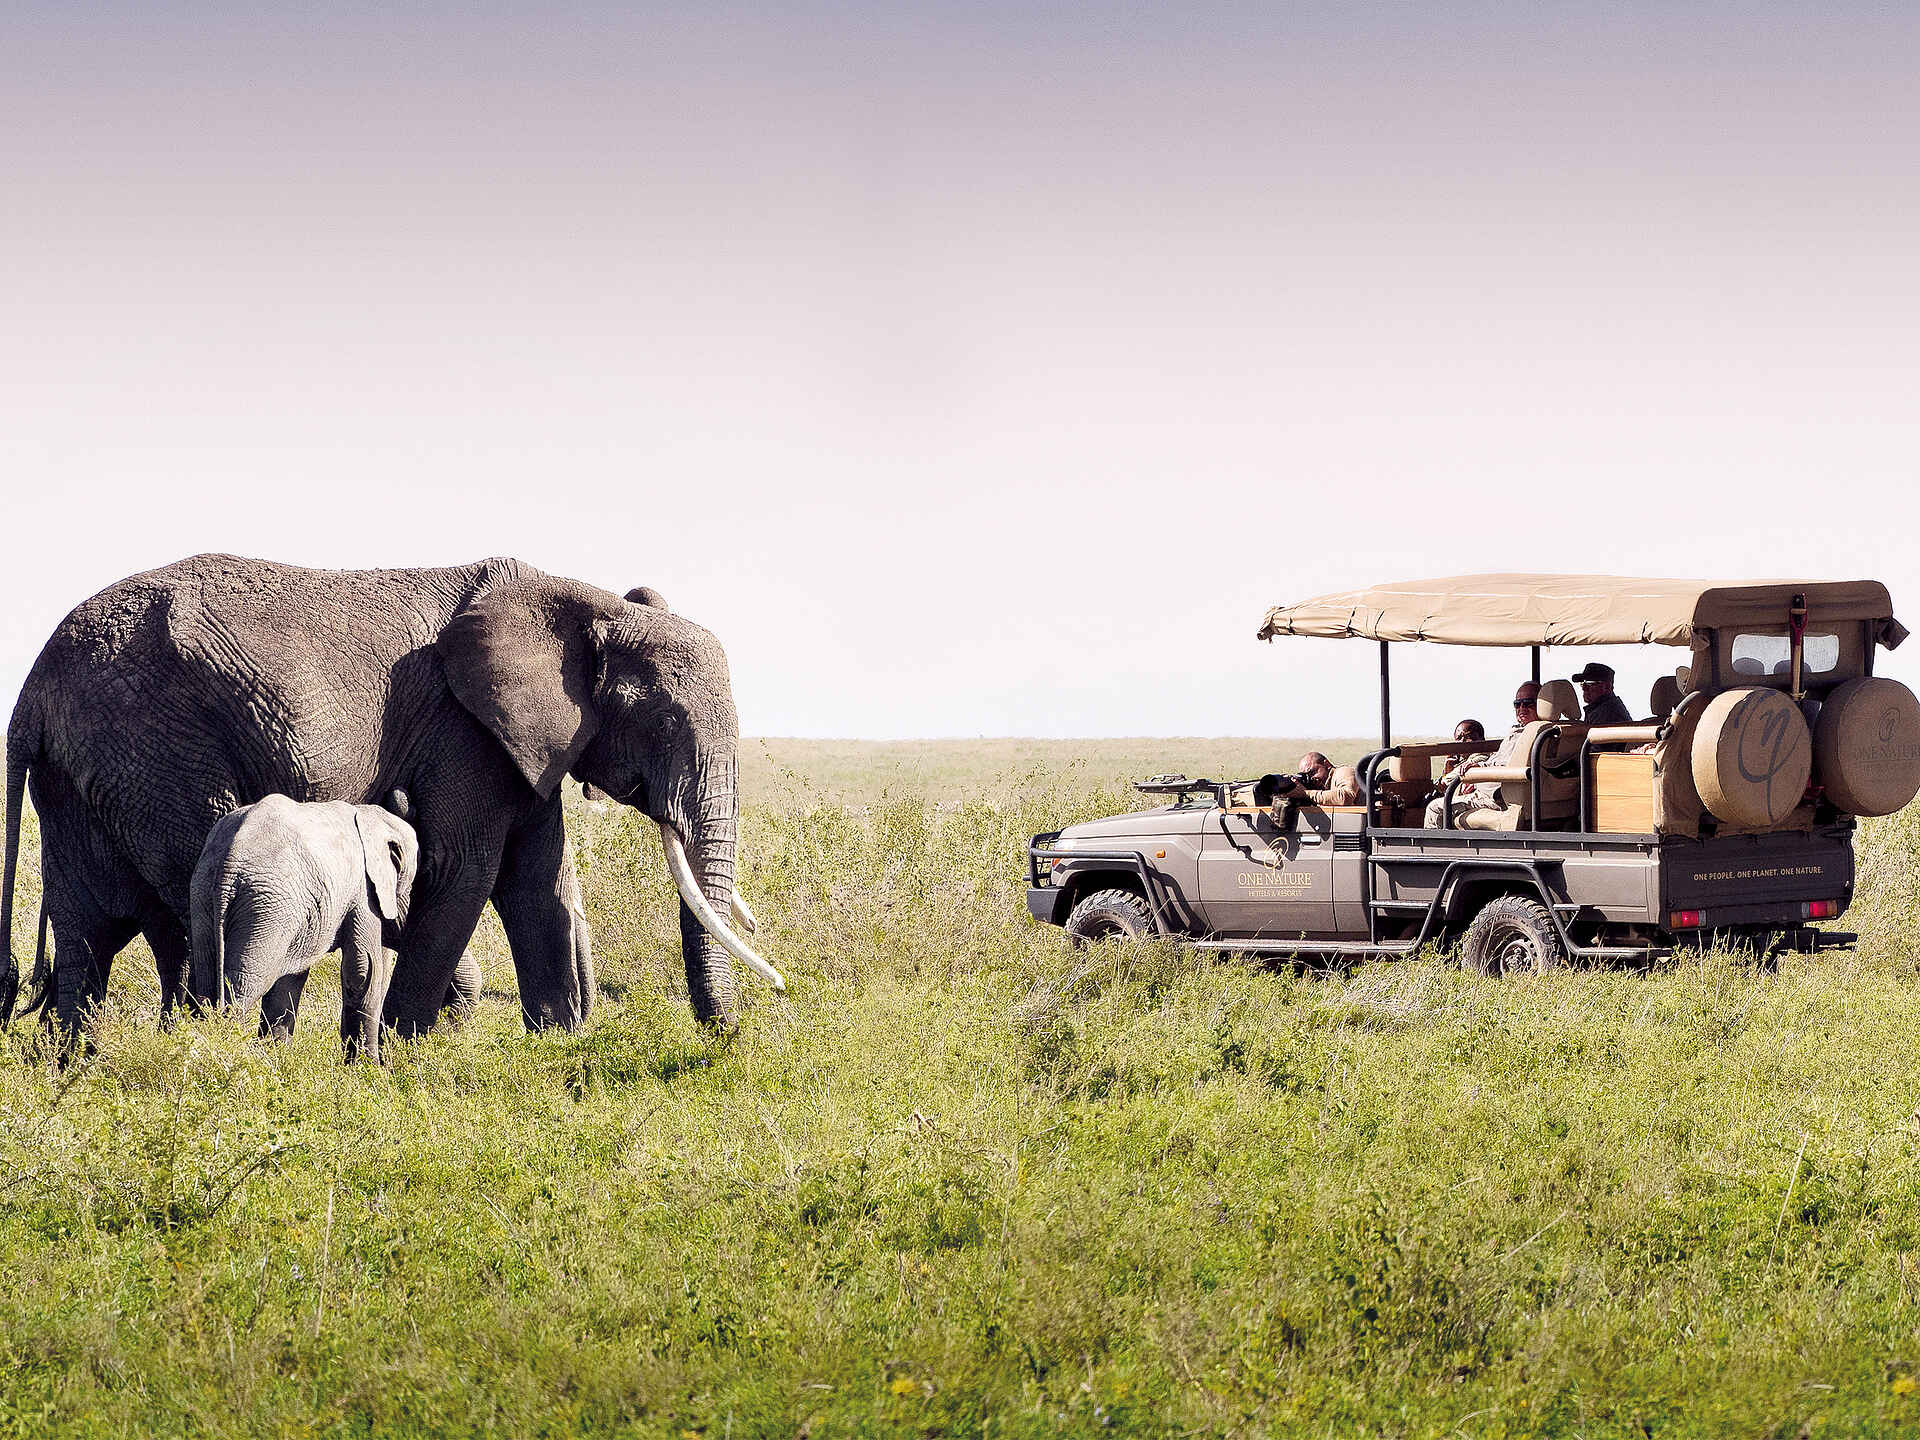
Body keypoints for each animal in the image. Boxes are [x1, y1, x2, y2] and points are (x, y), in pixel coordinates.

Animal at [189, 793, 419, 1059]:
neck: (371, 815)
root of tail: (228, 863)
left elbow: (291, 978)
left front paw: (277, 1056)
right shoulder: (363, 890)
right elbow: (363, 969)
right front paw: (368, 1066)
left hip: (205, 895)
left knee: (208, 980)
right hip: (267, 907)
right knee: (243, 986)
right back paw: (226, 1050)